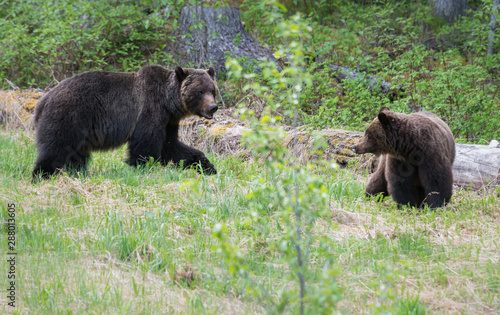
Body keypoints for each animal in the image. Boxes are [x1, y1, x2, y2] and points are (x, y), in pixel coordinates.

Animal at [32, 65, 218, 180]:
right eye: (200, 91)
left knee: (76, 153)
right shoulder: (149, 111)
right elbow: (146, 146)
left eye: (212, 90)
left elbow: (172, 147)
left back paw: (76, 172)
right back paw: (42, 175)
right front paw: (142, 167)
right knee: (55, 148)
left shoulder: (168, 122)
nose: (213, 107)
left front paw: (207, 166)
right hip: (69, 116)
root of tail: (43, 100)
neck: (169, 102)